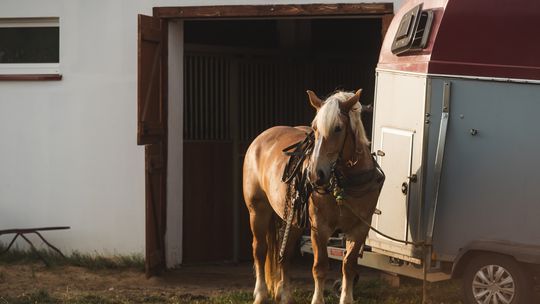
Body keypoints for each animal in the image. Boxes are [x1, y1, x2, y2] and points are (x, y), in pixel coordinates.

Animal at [245, 89, 384, 302]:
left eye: (338, 128)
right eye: (315, 128)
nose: (315, 174)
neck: (345, 183)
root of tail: (263, 137)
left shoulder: (360, 227)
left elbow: (349, 266)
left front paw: (346, 298)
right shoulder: (320, 227)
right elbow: (320, 267)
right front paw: (318, 299)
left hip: (293, 219)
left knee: (285, 255)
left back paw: (285, 295)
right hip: (258, 210)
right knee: (260, 250)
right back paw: (260, 294)